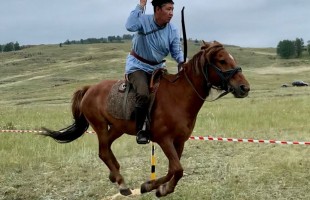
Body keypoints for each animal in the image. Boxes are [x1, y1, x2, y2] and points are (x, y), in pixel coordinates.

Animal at [41, 40, 249, 197]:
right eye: (222, 60)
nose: (244, 88)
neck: (179, 97)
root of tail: (89, 88)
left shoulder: (179, 141)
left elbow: (174, 169)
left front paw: (161, 188)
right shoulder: (164, 139)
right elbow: (177, 169)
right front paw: (151, 187)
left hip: (117, 128)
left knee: (107, 148)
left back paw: (114, 174)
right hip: (99, 126)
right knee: (103, 151)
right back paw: (122, 184)